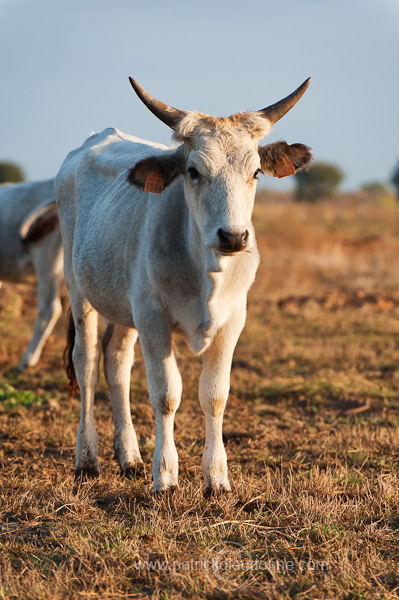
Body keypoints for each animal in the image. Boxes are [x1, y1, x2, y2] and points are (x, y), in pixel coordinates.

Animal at [56, 77, 312, 494]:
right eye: (193, 171)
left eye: (256, 172)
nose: (233, 236)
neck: (207, 271)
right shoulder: (154, 319)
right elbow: (166, 395)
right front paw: (166, 476)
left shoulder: (231, 322)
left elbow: (215, 396)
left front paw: (217, 479)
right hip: (79, 290)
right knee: (87, 361)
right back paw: (87, 459)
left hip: (126, 309)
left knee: (116, 362)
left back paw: (129, 457)